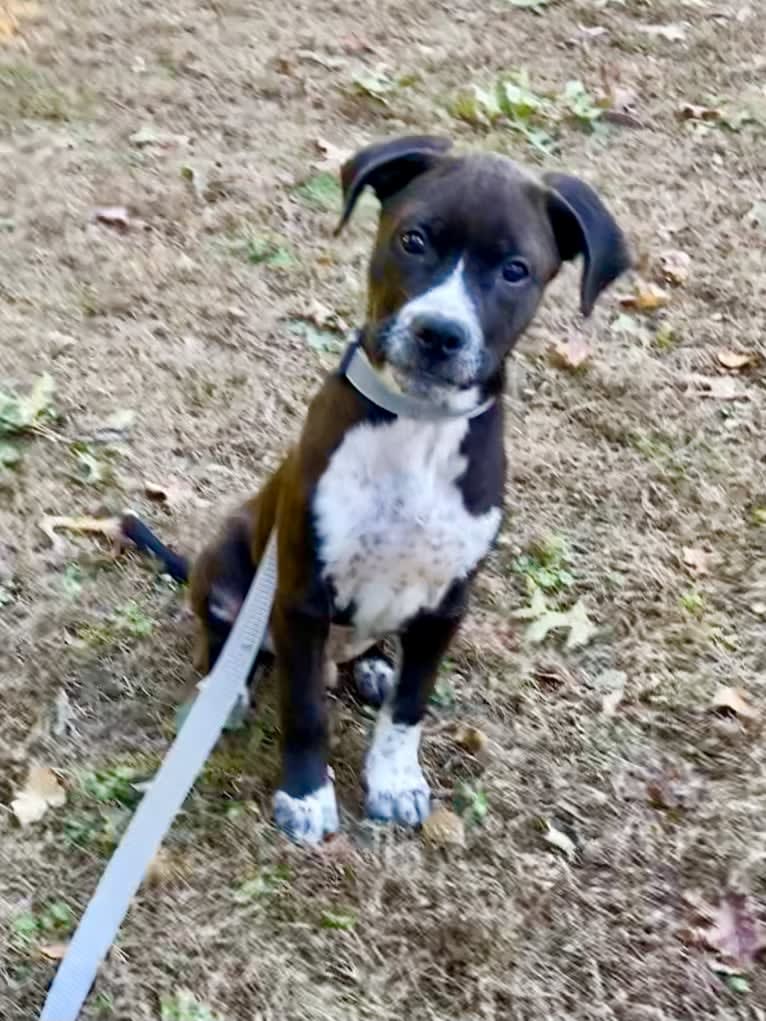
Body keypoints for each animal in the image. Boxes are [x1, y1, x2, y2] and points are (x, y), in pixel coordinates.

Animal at [123, 135, 633, 845]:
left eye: (515, 271)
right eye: (413, 239)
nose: (439, 334)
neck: (417, 427)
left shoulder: (446, 606)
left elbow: (409, 709)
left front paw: (393, 782)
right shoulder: (301, 596)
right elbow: (305, 708)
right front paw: (306, 795)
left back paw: (372, 667)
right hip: (229, 554)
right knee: (224, 640)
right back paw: (229, 691)